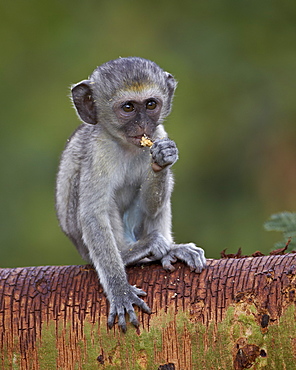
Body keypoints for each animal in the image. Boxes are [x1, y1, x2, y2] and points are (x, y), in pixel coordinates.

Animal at [56, 56, 207, 330]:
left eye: (151, 105)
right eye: (128, 107)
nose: (143, 125)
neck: (125, 145)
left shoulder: (159, 134)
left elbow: (151, 204)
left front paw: (162, 159)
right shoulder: (99, 152)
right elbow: (93, 214)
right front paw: (120, 290)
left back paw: (169, 250)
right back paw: (134, 254)